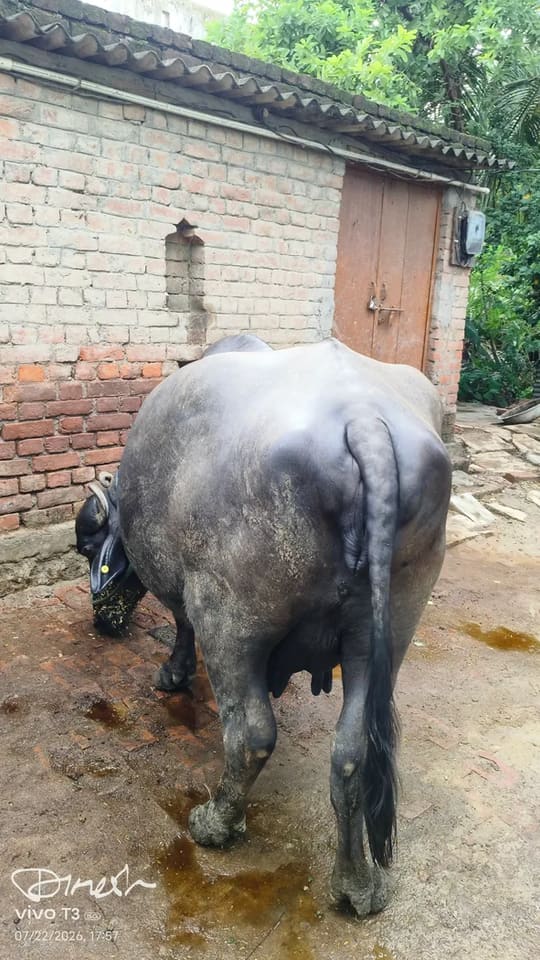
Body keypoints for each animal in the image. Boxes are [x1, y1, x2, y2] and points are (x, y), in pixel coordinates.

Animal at [76, 335, 451, 917]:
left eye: (89, 545)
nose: (101, 617)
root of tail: (362, 419)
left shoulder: (188, 591)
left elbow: (180, 624)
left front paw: (173, 675)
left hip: (232, 620)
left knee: (251, 734)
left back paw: (215, 823)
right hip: (389, 629)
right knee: (352, 753)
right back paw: (356, 883)